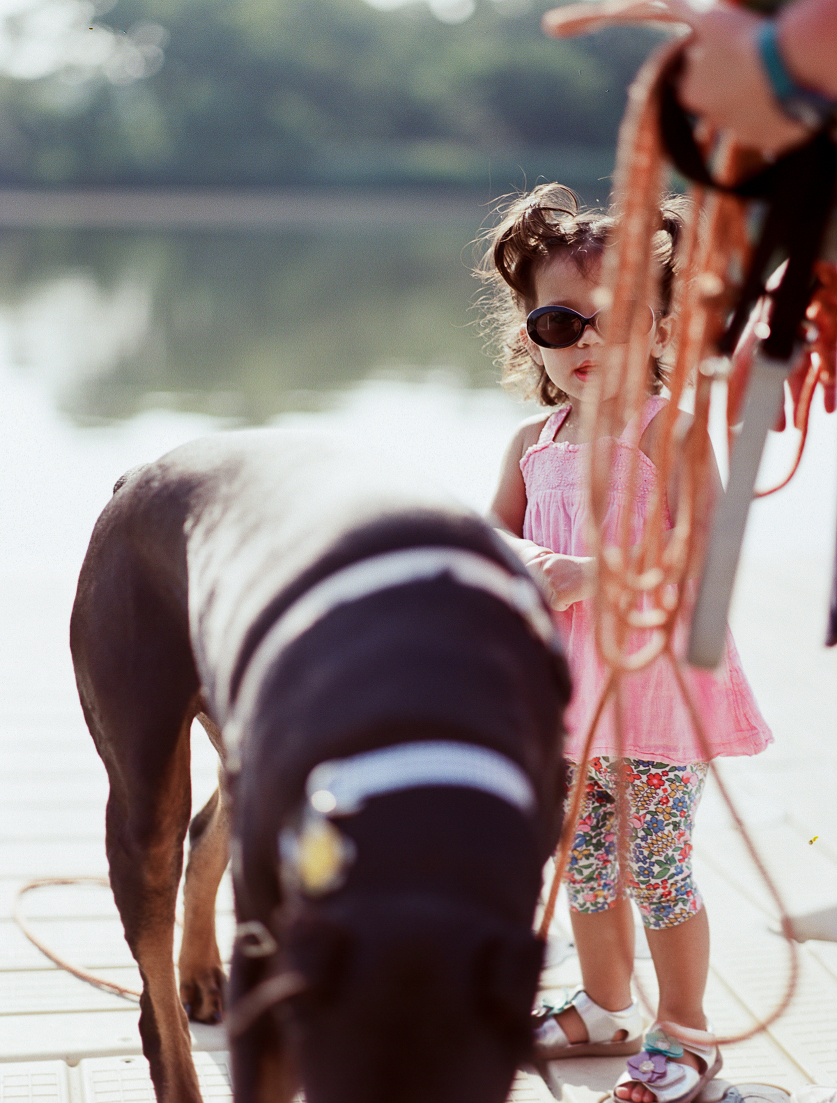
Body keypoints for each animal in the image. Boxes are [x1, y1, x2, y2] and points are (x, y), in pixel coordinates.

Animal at [72, 427, 569, 1103]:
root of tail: (138, 475)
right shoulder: (271, 967)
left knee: (208, 827)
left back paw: (198, 970)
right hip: (143, 758)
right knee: (156, 953)